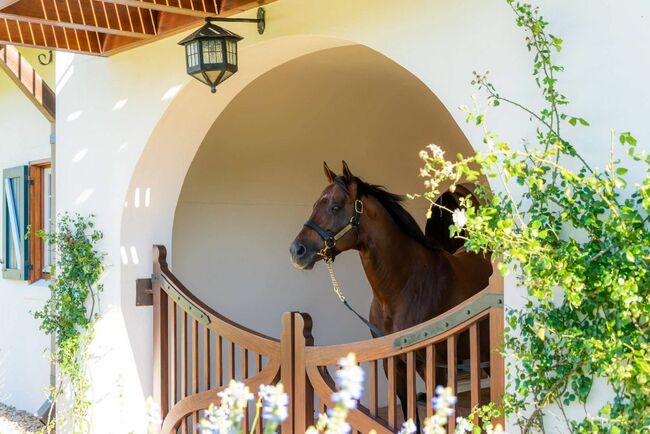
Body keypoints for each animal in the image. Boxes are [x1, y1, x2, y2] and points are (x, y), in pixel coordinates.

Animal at [289, 161, 493, 425]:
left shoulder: (434, 366)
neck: (402, 289)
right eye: (315, 204)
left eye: (335, 206)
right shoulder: (394, 365)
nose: (297, 250)